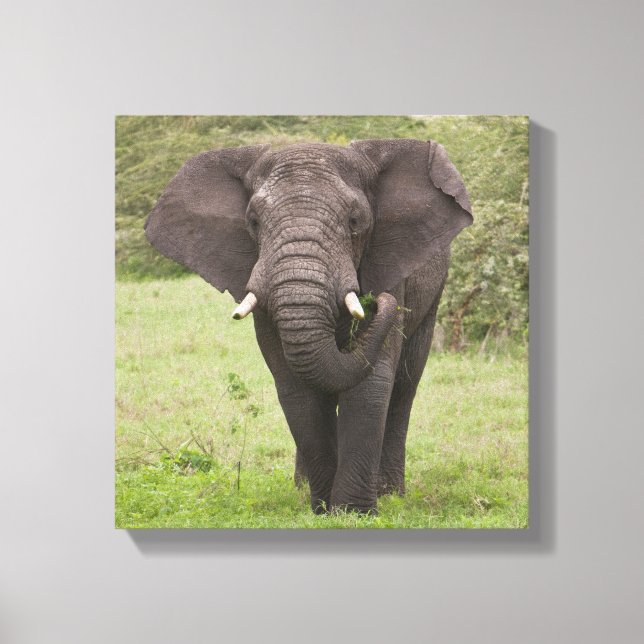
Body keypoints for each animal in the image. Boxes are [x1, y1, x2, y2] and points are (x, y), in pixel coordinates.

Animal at [145, 138, 472, 514]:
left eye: (355, 221)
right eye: (253, 222)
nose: (377, 302)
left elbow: (372, 383)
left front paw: (354, 512)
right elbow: (295, 386)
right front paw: (323, 508)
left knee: (405, 384)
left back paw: (391, 493)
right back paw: (302, 489)